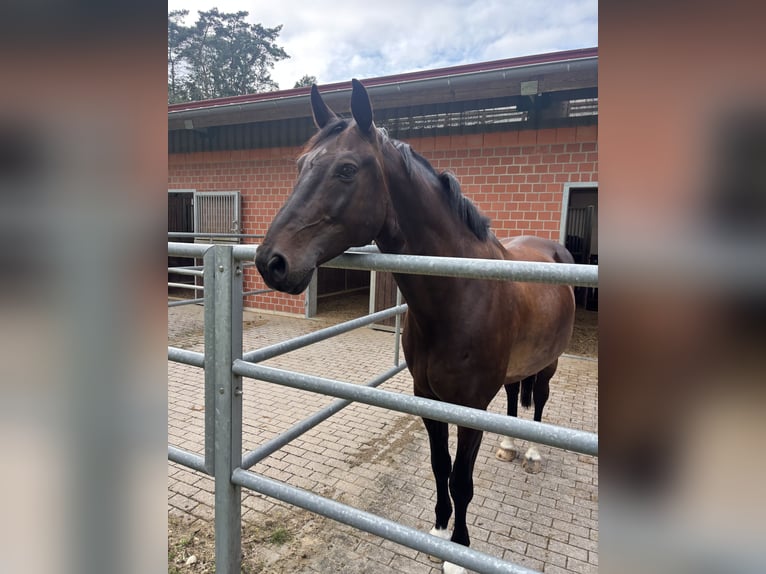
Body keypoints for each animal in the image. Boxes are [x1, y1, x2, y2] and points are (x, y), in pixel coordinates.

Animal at [255, 79, 575, 574]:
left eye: (347, 170)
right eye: (301, 165)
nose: (271, 262)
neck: (460, 296)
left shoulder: (469, 408)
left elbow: (462, 479)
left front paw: (458, 551)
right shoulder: (427, 398)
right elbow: (439, 467)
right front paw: (439, 531)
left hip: (550, 362)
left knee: (538, 400)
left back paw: (534, 451)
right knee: (513, 399)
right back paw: (508, 446)